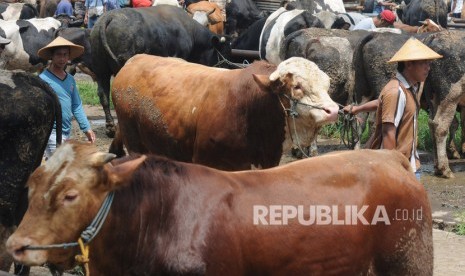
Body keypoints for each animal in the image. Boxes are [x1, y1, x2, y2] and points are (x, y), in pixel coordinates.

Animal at [89, 4, 231, 137]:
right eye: (223, 52)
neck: (190, 31)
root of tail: (108, 17)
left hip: (101, 71)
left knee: (103, 95)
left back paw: (110, 127)